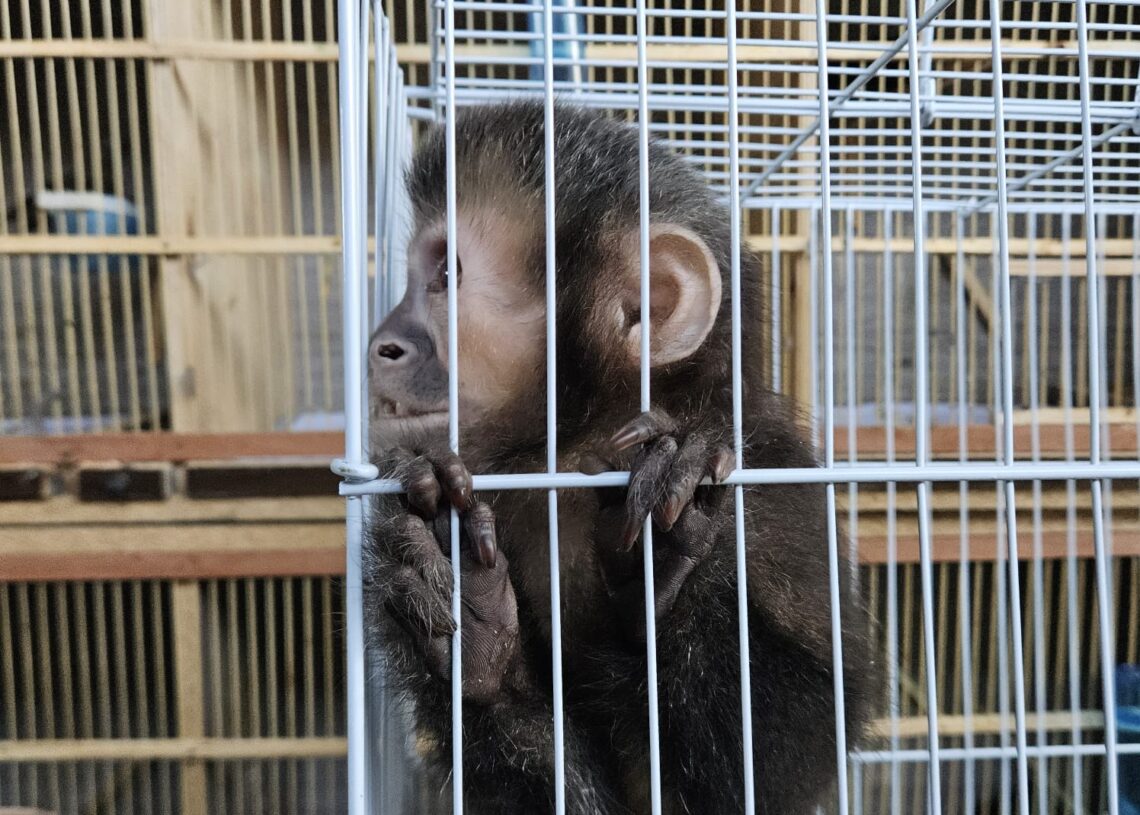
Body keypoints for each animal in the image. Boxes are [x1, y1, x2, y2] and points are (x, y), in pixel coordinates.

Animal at [363, 101, 876, 814]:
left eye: (445, 276)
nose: (382, 343)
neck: (585, 445)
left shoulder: (771, 478)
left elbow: (777, 766)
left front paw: (668, 558)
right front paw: (471, 623)